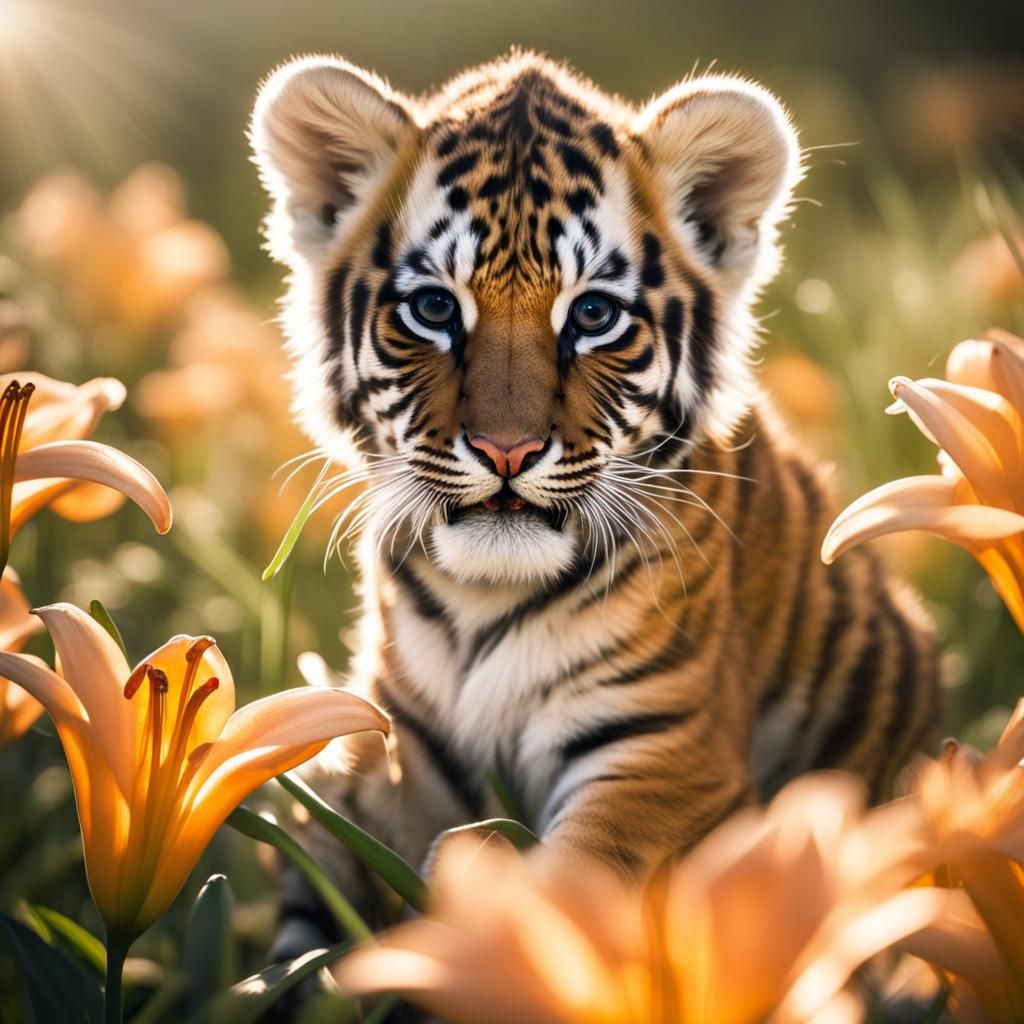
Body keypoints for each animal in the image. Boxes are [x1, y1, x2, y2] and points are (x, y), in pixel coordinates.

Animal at [249, 50, 940, 960]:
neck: (483, 596)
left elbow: (574, 881)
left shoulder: (666, 752)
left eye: (593, 314)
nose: (506, 451)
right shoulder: (394, 748)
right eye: (434, 308)